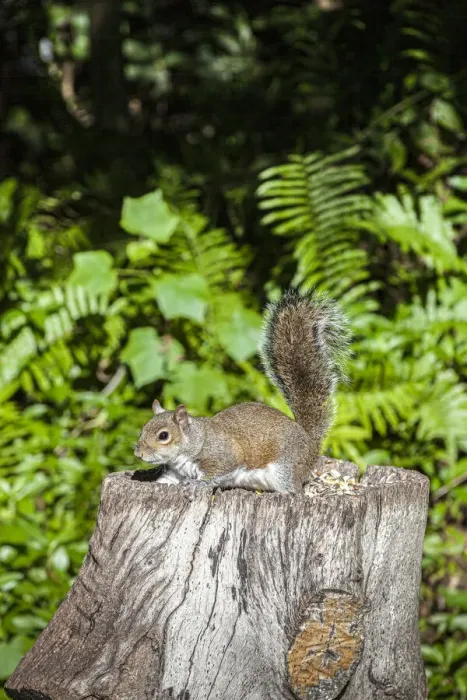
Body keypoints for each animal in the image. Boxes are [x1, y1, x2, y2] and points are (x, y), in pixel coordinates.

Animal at [134, 289, 350, 493]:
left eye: (163, 436)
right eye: (143, 429)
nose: (138, 453)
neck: (195, 441)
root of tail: (310, 443)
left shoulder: (223, 456)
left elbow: (217, 473)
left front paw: (198, 483)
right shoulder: (176, 472)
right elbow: (168, 479)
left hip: (285, 469)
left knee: (294, 489)